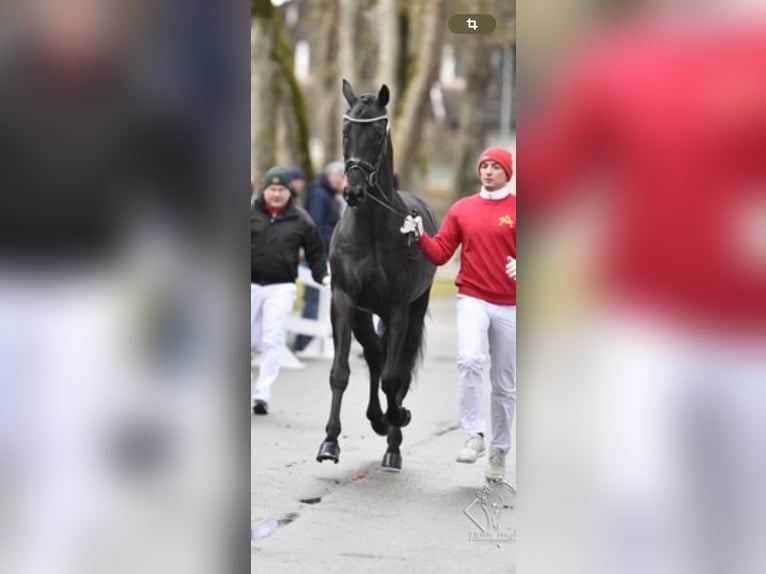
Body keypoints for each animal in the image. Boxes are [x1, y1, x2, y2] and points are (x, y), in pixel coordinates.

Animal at [318, 80, 438, 472]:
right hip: (363, 314)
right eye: (345, 131)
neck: (371, 228)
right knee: (373, 355)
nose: (353, 191)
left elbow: (393, 376)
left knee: (396, 367)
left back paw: (392, 439)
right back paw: (377, 419)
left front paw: (397, 418)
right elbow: (341, 372)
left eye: (377, 133)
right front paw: (330, 442)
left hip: (413, 311)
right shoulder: (344, 302)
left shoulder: (399, 308)